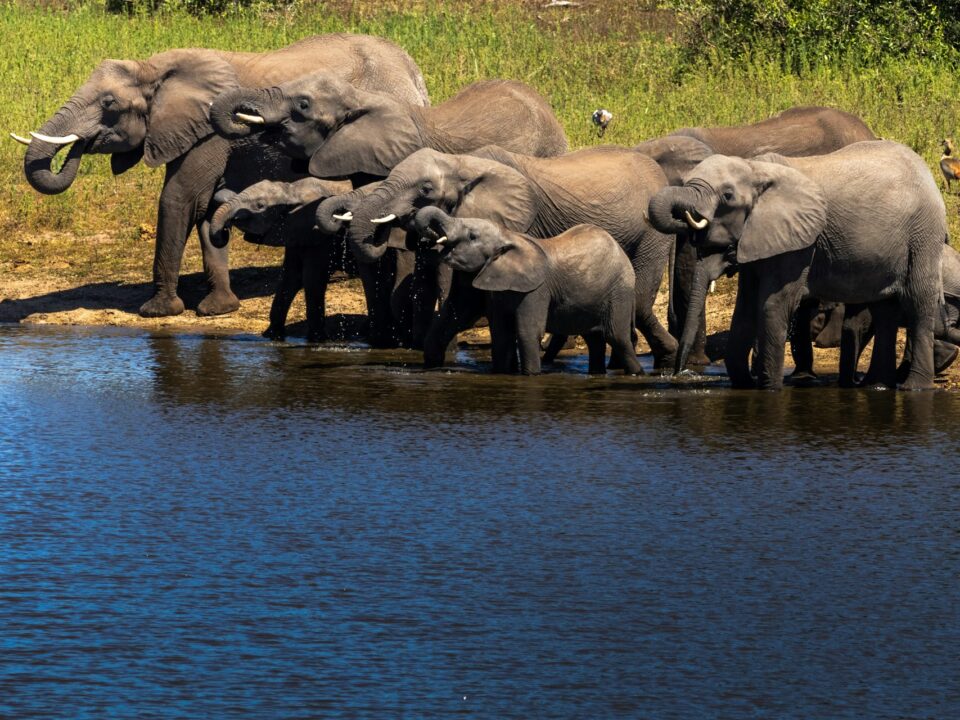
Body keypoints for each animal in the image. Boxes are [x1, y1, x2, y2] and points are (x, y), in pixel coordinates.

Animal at [13, 34, 428, 318]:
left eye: (109, 103)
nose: (80, 144)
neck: (154, 69)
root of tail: (413, 71)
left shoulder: (206, 134)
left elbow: (180, 198)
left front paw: (157, 311)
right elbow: (208, 206)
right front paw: (218, 308)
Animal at [414, 208, 642, 375]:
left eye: (472, 236)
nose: (425, 240)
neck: (507, 235)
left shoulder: (536, 289)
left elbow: (527, 331)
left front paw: (531, 375)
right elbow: (496, 330)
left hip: (620, 291)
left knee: (617, 336)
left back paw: (637, 373)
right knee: (594, 339)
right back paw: (597, 373)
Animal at [648, 140, 945, 390]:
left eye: (728, 196)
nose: (680, 374)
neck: (756, 169)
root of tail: (927, 173)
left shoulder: (800, 241)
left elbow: (773, 303)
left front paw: (768, 389)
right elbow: (744, 308)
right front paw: (744, 385)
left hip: (924, 233)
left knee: (918, 301)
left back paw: (914, 387)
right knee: (884, 309)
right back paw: (877, 386)